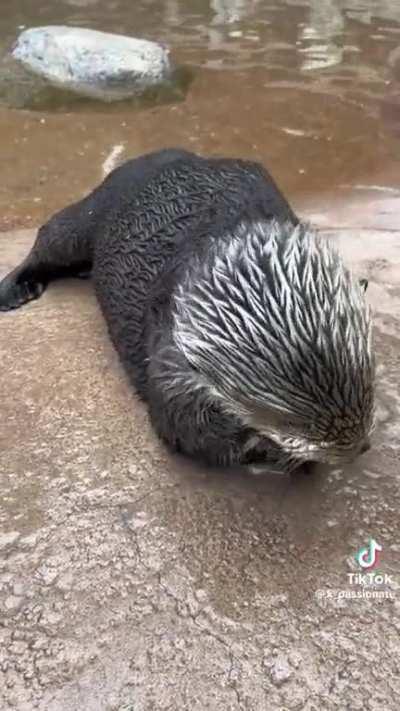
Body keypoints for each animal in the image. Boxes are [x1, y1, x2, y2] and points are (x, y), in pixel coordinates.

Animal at [0, 148, 375, 472]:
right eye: (290, 422)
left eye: (370, 386)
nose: (359, 449)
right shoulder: (168, 357)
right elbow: (178, 423)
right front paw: (264, 448)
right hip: (92, 211)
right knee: (50, 235)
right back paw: (15, 289)